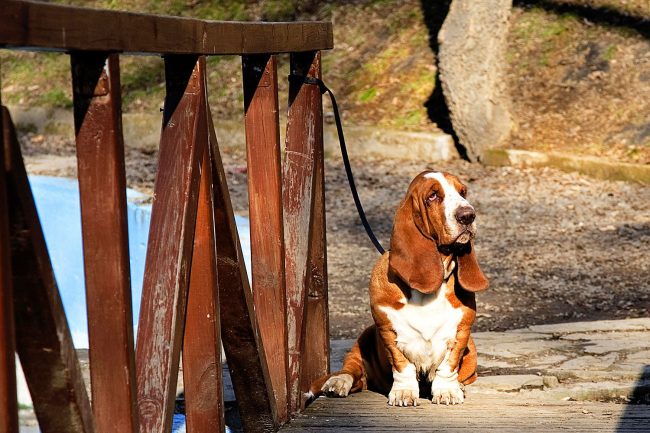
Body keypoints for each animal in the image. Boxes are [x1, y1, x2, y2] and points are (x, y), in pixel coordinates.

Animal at [308, 171, 486, 404]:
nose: (468, 216)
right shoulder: (388, 331)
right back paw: (337, 383)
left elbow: (448, 366)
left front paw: (447, 391)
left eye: (462, 192)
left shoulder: (461, 332)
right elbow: (402, 366)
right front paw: (404, 392)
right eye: (433, 196)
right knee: (353, 372)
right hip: (362, 342)